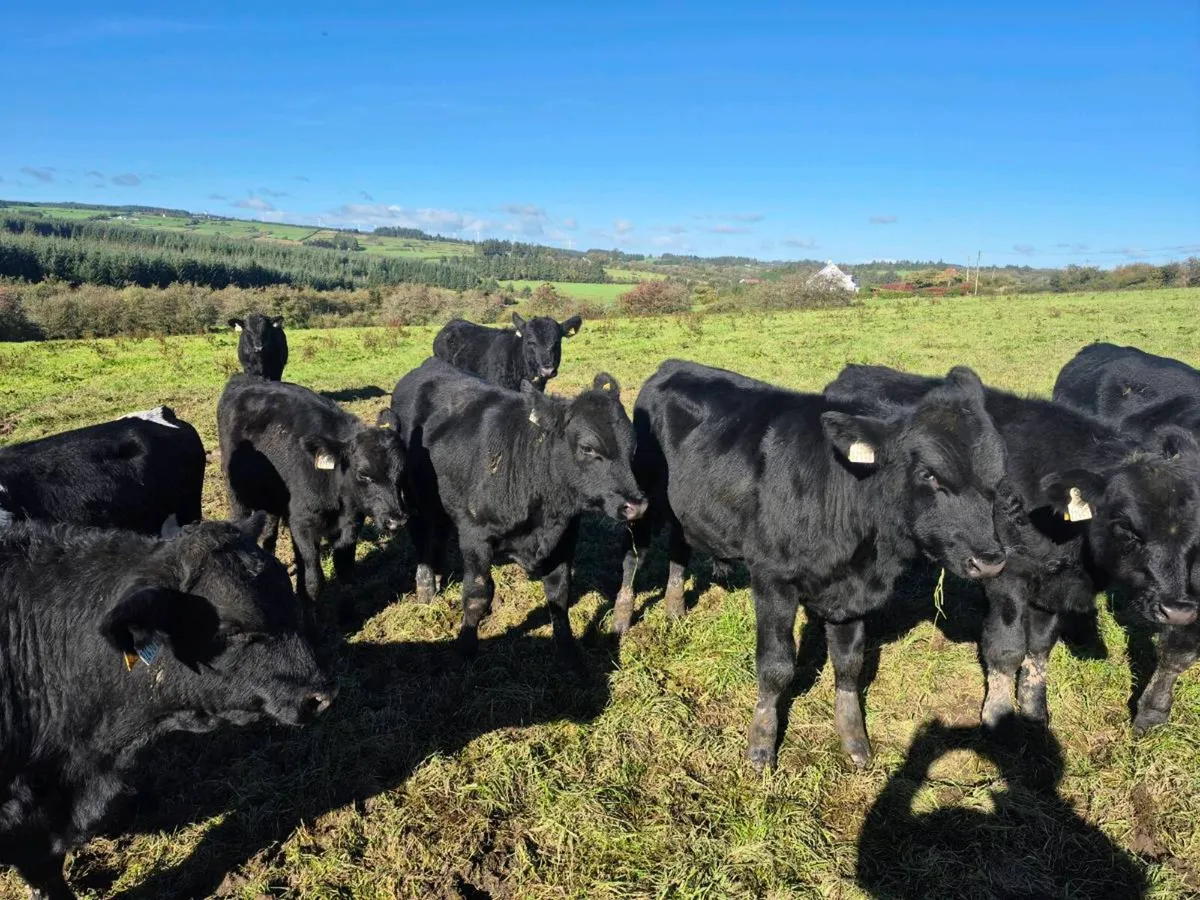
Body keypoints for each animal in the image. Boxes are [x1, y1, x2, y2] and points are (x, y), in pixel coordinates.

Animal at [217, 375, 407, 623]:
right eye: (363, 474)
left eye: (402, 472)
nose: (397, 520)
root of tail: (243, 380)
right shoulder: (302, 523)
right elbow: (313, 580)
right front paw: (310, 622)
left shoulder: (351, 524)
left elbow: (345, 570)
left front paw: (348, 615)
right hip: (237, 494)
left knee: (269, 531)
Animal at [390, 357, 646, 662]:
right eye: (588, 447)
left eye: (633, 447)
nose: (637, 505)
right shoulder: (475, 535)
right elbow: (477, 593)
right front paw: (465, 646)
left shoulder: (565, 537)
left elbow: (559, 594)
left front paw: (567, 650)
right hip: (413, 499)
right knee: (421, 538)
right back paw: (426, 587)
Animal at [616, 360, 1009, 769]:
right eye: (928, 474)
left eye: (997, 476)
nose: (990, 561)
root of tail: (672, 366)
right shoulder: (772, 577)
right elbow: (776, 666)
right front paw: (761, 744)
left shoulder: (852, 590)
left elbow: (850, 663)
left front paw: (854, 738)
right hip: (641, 497)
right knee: (634, 554)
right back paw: (622, 616)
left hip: (685, 509)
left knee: (678, 545)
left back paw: (675, 607)